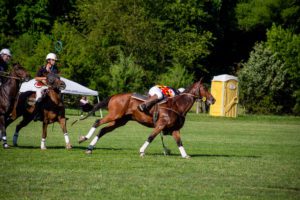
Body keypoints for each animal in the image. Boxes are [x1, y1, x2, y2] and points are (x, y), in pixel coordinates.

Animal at [76, 79, 214, 159]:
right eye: (205, 88)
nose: (213, 99)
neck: (177, 105)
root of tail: (114, 96)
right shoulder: (160, 125)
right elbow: (151, 137)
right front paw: (142, 151)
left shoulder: (175, 129)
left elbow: (179, 142)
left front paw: (185, 155)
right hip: (114, 115)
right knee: (97, 122)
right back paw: (84, 138)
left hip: (120, 121)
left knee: (103, 130)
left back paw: (90, 148)